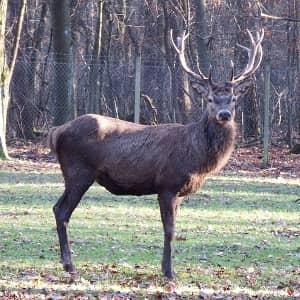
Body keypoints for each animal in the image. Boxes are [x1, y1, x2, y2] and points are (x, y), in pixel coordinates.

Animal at [48, 28, 262, 278]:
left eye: (233, 99)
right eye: (210, 99)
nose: (224, 114)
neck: (197, 160)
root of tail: (56, 131)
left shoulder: (179, 192)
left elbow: (173, 228)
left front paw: (165, 268)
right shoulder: (167, 185)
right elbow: (170, 229)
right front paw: (169, 272)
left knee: (57, 208)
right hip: (78, 172)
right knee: (62, 211)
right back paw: (69, 265)